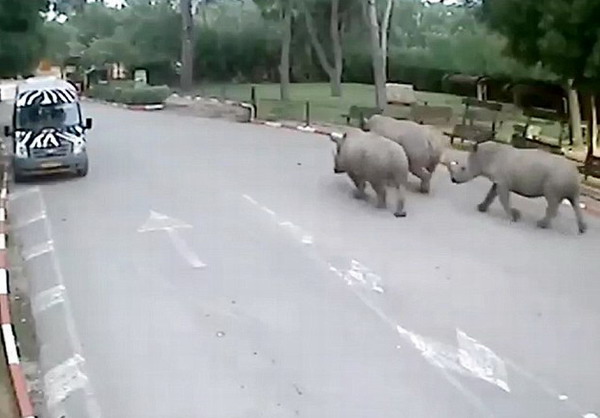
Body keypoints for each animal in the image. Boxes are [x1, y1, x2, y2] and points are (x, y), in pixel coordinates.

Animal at [450, 140, 584, 232]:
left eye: (463, 168)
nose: (453, 179)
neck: (484, 157)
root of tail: (576, 174)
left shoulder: (503, 181)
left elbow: (503, 199)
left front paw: (513, 217)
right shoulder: (498, 181)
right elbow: (491, 194)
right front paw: (481, 208)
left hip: (556, 179)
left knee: (552, 199)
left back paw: (541, 225)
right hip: (565, 180)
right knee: (574, 200)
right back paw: (582, 229)